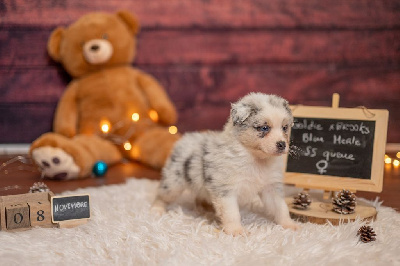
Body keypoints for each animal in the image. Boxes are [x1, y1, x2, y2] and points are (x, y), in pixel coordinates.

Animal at [152, 92, 298, 236]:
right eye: (264, 127)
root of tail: (186, 138)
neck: (256, 159)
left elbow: (281, 207)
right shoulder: (226, 189)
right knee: (161, 196)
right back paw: (157, 209)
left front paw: (289, 225)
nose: (282, 144)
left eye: (285, 127)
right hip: (173, 183)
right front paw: (236, 230)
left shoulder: (271, 187)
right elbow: (232, 213)